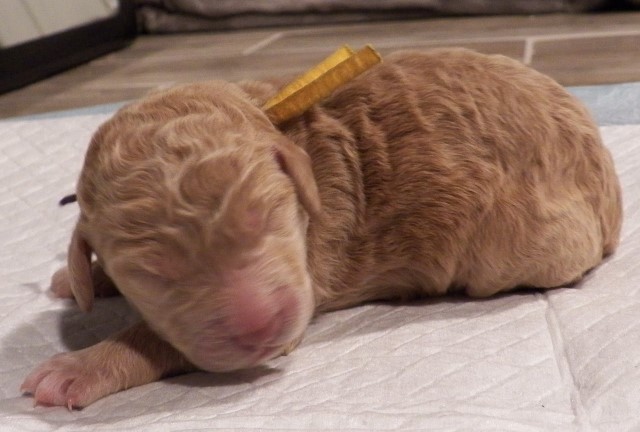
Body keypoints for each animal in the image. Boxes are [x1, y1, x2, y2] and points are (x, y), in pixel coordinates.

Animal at [20, 49, 620, 406]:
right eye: (155, 274)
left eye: (266, 217)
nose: (261, 325)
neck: (269, 117)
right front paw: (82, 278)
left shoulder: (299, 284)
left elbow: (156, 339)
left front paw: (78, 366)